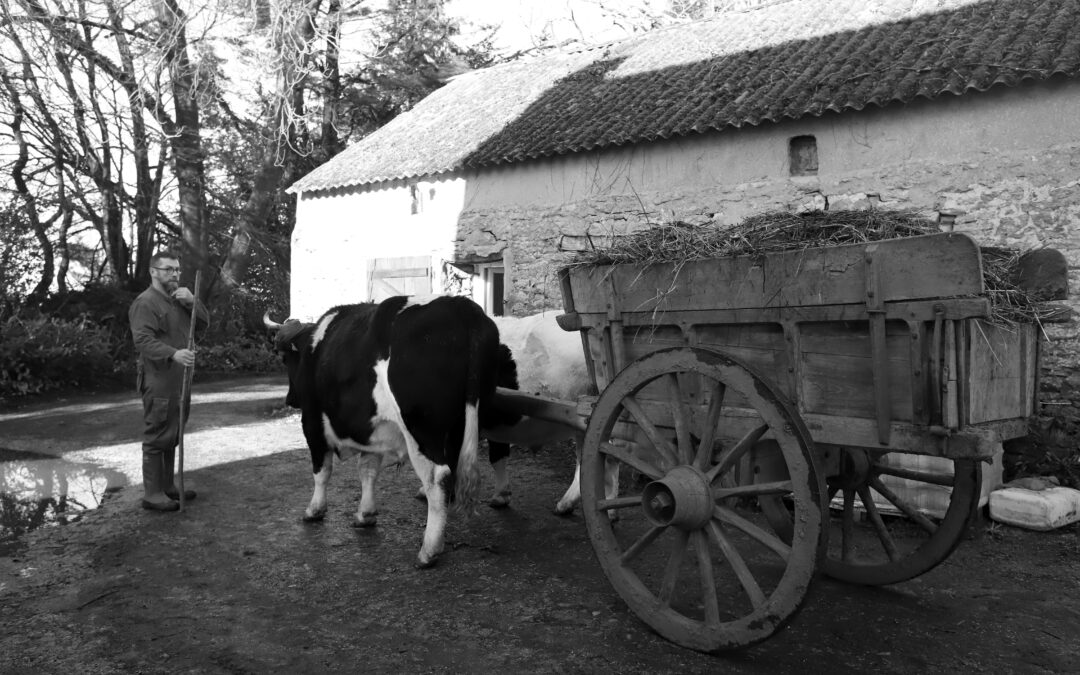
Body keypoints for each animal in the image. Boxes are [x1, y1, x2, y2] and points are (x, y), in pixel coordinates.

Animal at [268, 298, 522, 565]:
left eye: (285, 358)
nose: (289, 399)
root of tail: (460, 306)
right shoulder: (370, 432)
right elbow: (368, 471)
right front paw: (366, 514)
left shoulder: (312, 423)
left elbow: (322, 471)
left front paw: (314, 509)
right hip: (466, 423)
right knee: (478, 459)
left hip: (421, 429)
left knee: (438, 477)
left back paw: (429, 549)